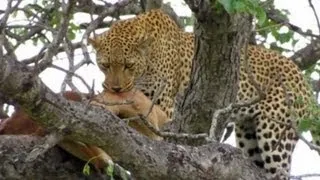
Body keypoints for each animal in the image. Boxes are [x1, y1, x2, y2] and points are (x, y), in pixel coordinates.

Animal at [89, 9, 316, 179]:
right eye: (105, 65)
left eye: (128, 65)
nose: (115, 89)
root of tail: (301, 78)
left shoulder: (162, 106)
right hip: (248, 135)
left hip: (275, 133)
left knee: (279, 169)